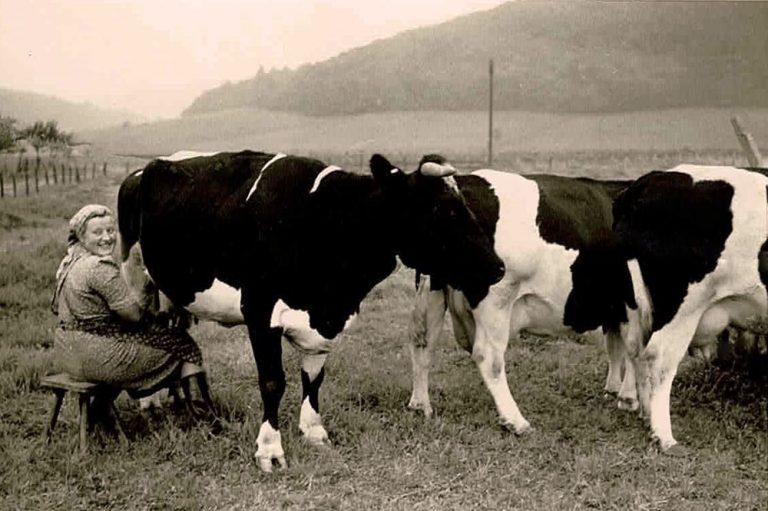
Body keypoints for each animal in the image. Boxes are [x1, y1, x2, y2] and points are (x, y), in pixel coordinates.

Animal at [118, 150, 504, 474]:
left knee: (173, 332)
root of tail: (147, 167)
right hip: (135, 279)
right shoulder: (260, 311)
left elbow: (314, 377)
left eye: (465, 206)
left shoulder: (326, 321)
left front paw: (313, 430)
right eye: (442, 211)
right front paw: (270, 450)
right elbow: (273, 382)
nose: (498, 267)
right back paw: (151, 400)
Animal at [408, 155, 632, 432]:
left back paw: (420, 405)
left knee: (423, 343)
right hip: (497, 298)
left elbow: (617, 346)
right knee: (488, 356)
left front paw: (615, 391)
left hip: (433, 292)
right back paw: (516, 420)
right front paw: (630, 398)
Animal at [568, 165, 768, 452]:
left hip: (637, 306)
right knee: (658, 357)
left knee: (635, 350)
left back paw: (643, 411)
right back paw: (663, 435)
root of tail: (650, 180)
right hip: (684, 307)